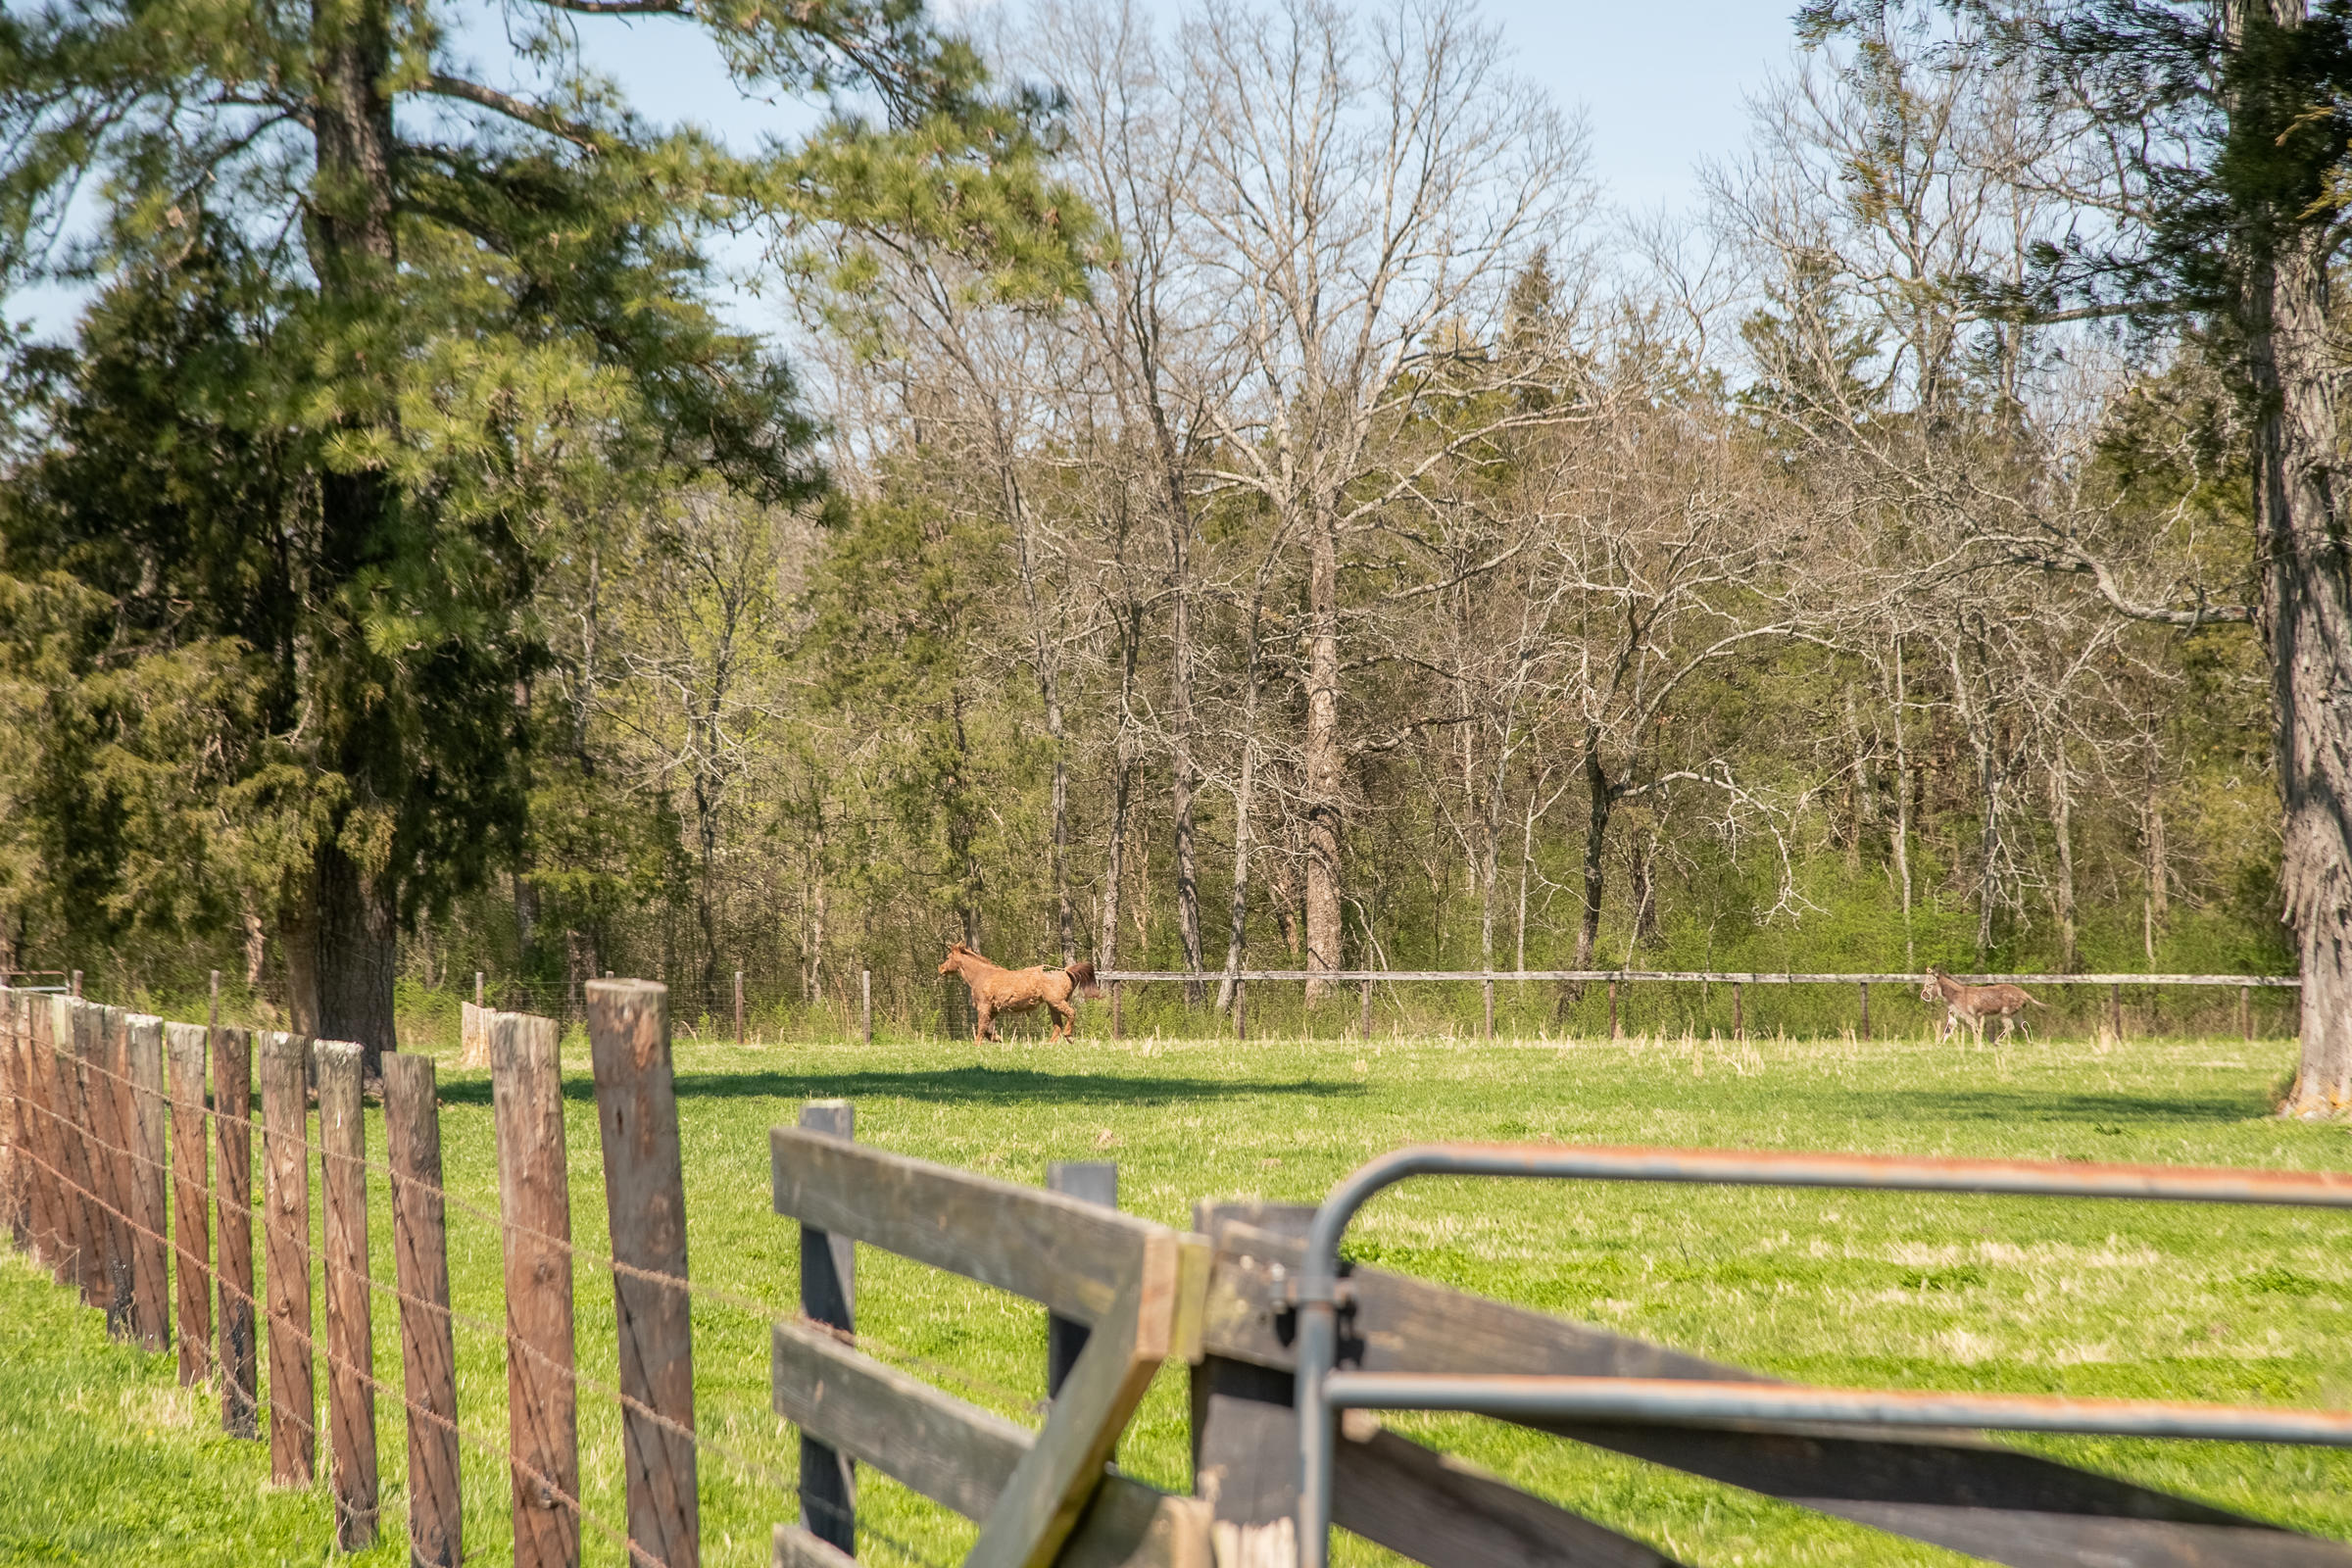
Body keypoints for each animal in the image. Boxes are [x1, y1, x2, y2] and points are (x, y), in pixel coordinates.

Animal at [937, 942, 1101, 1042]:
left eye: (948, 957)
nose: (941, 968)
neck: (982, 975)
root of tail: (1066, 971)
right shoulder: (994, 1010)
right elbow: (988, 1029)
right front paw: (997, 1039)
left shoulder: (984, 1006)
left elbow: (981, 1027)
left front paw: (977, 1045)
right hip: (1053, 1005)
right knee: (1057, 1026)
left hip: (1056, 1002)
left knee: (1071, 1014)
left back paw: (1068, 1036)